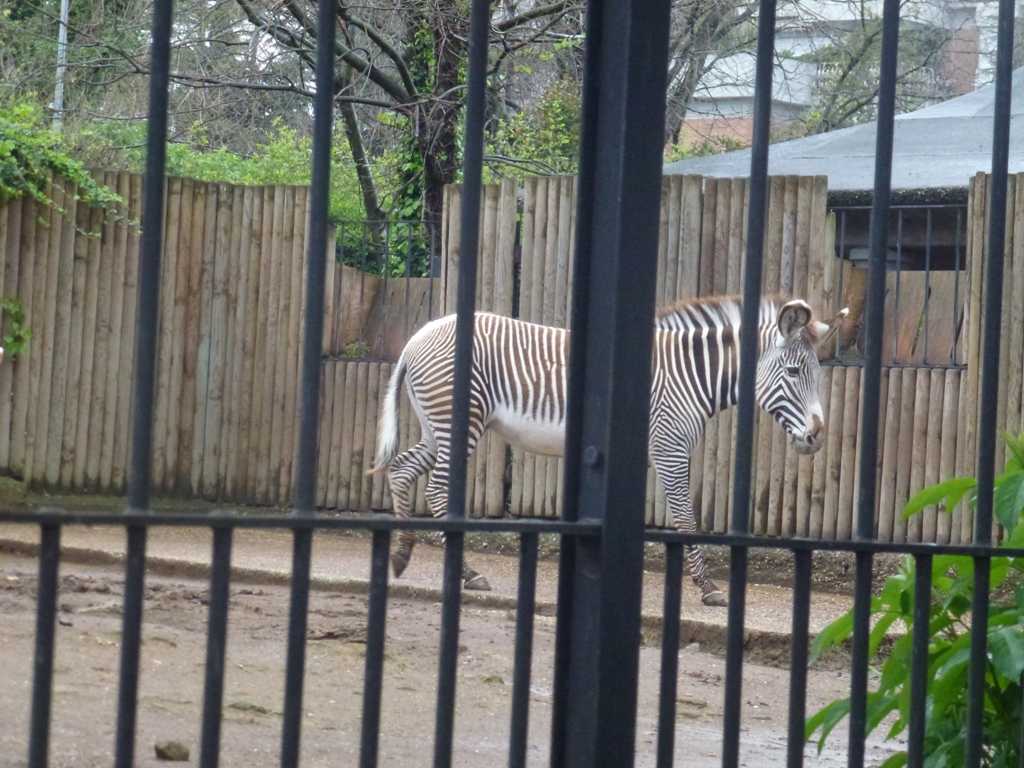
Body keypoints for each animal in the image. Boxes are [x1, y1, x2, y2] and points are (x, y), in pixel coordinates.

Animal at [367, 294, 848, 606]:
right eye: (792, 372)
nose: (817, 437)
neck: (691, 376)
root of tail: (417, 337)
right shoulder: (670, 448)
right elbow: (685, 517)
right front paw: (708, 587)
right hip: (458, 421)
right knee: (435, 487)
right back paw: (466, 572)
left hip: (439, 426)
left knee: (402, 470)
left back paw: (404, 552)